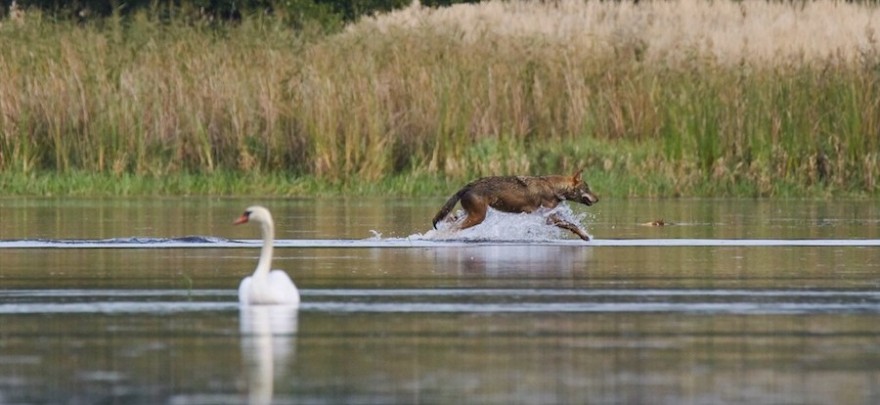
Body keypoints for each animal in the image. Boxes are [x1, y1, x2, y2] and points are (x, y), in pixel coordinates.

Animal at [432, 170, 600, 240]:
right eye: (587, 188)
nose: (597, 199)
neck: (554, 188)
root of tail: (467, 186)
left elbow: (572, 225)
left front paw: (584, 235)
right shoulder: (547, 217)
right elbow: (570, 224)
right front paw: (584, 235)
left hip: (469, 215)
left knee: (450, 221)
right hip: (478, 217)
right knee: (452, 229)